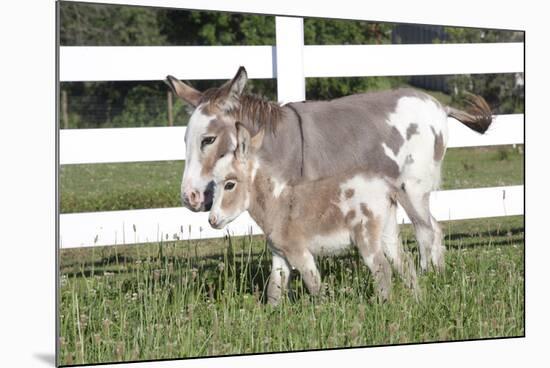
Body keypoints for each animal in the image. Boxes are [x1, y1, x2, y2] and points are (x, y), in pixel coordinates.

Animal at [209, 123, 416, 304]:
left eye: (229, 184)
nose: (212, 220)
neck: (277, 204)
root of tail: (386, 186)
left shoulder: (299, 253)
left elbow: (315, 286)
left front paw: (323, 311)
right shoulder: (280, 256)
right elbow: (274, 291)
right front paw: (270, 317)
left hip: (366, 235)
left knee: (383, 269)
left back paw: (384, 306)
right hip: (388, 231)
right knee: (404, 264)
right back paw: (417, 301)